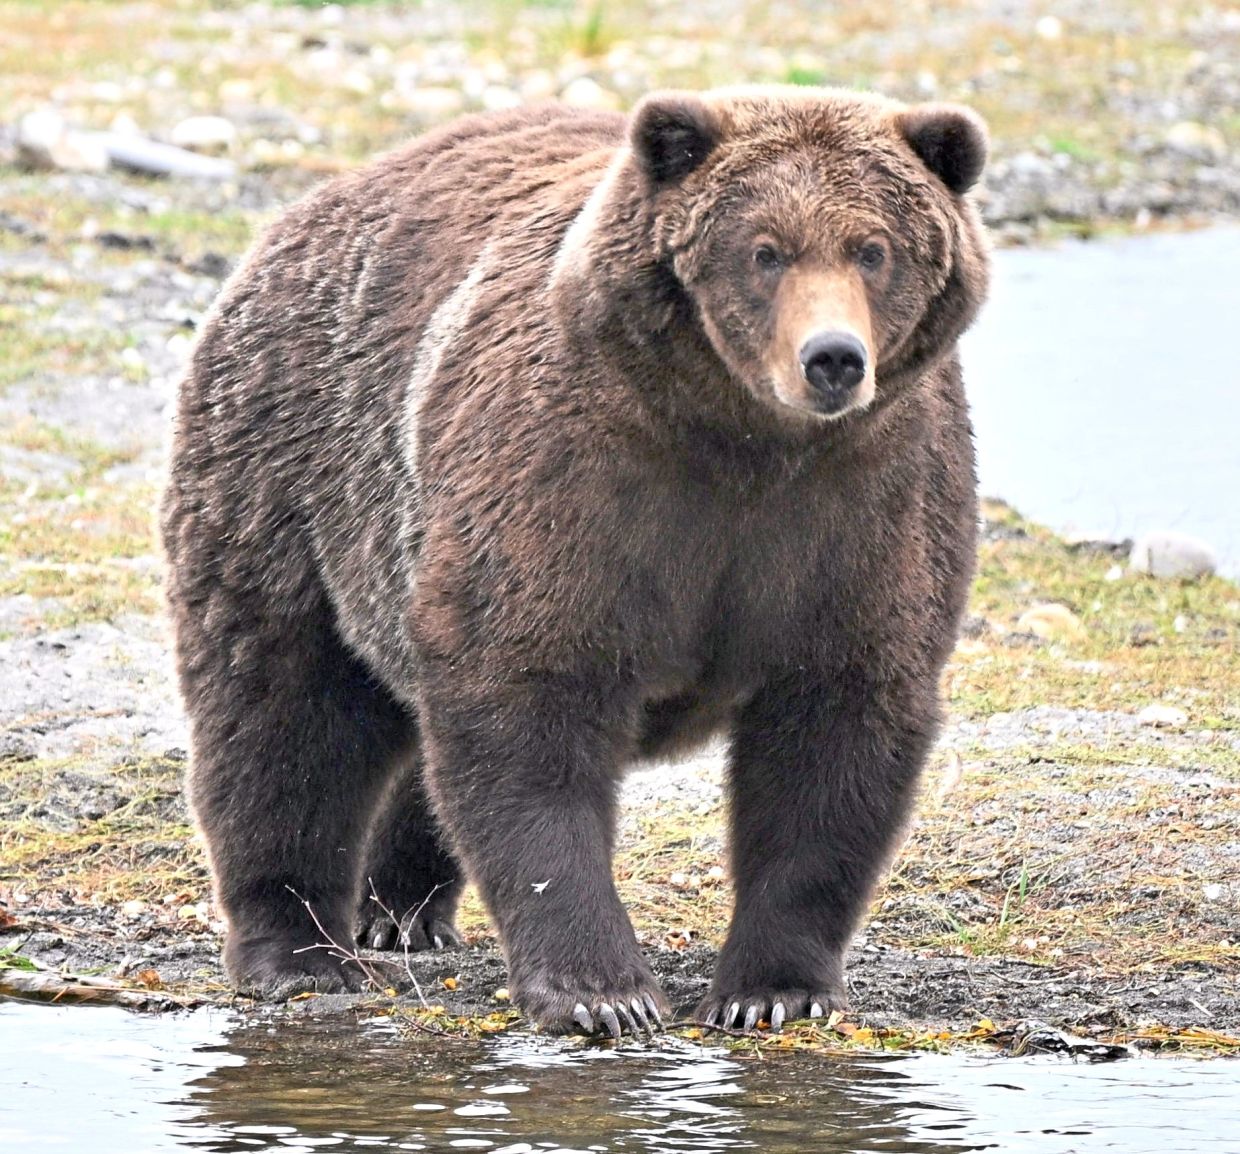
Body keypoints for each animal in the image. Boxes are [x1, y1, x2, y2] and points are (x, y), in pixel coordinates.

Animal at [160, 85, 990, 1037]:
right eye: (765, 250)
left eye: (873, 248)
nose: (832, 359)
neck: (743, 442)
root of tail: (306, 211)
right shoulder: (573, 480)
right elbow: (529, 705)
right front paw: (604, 991)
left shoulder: (865, 506)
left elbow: (836, 733)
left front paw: (772, 990)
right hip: (294, 473)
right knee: (281, 709)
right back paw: (296, 952)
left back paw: (401, 910)